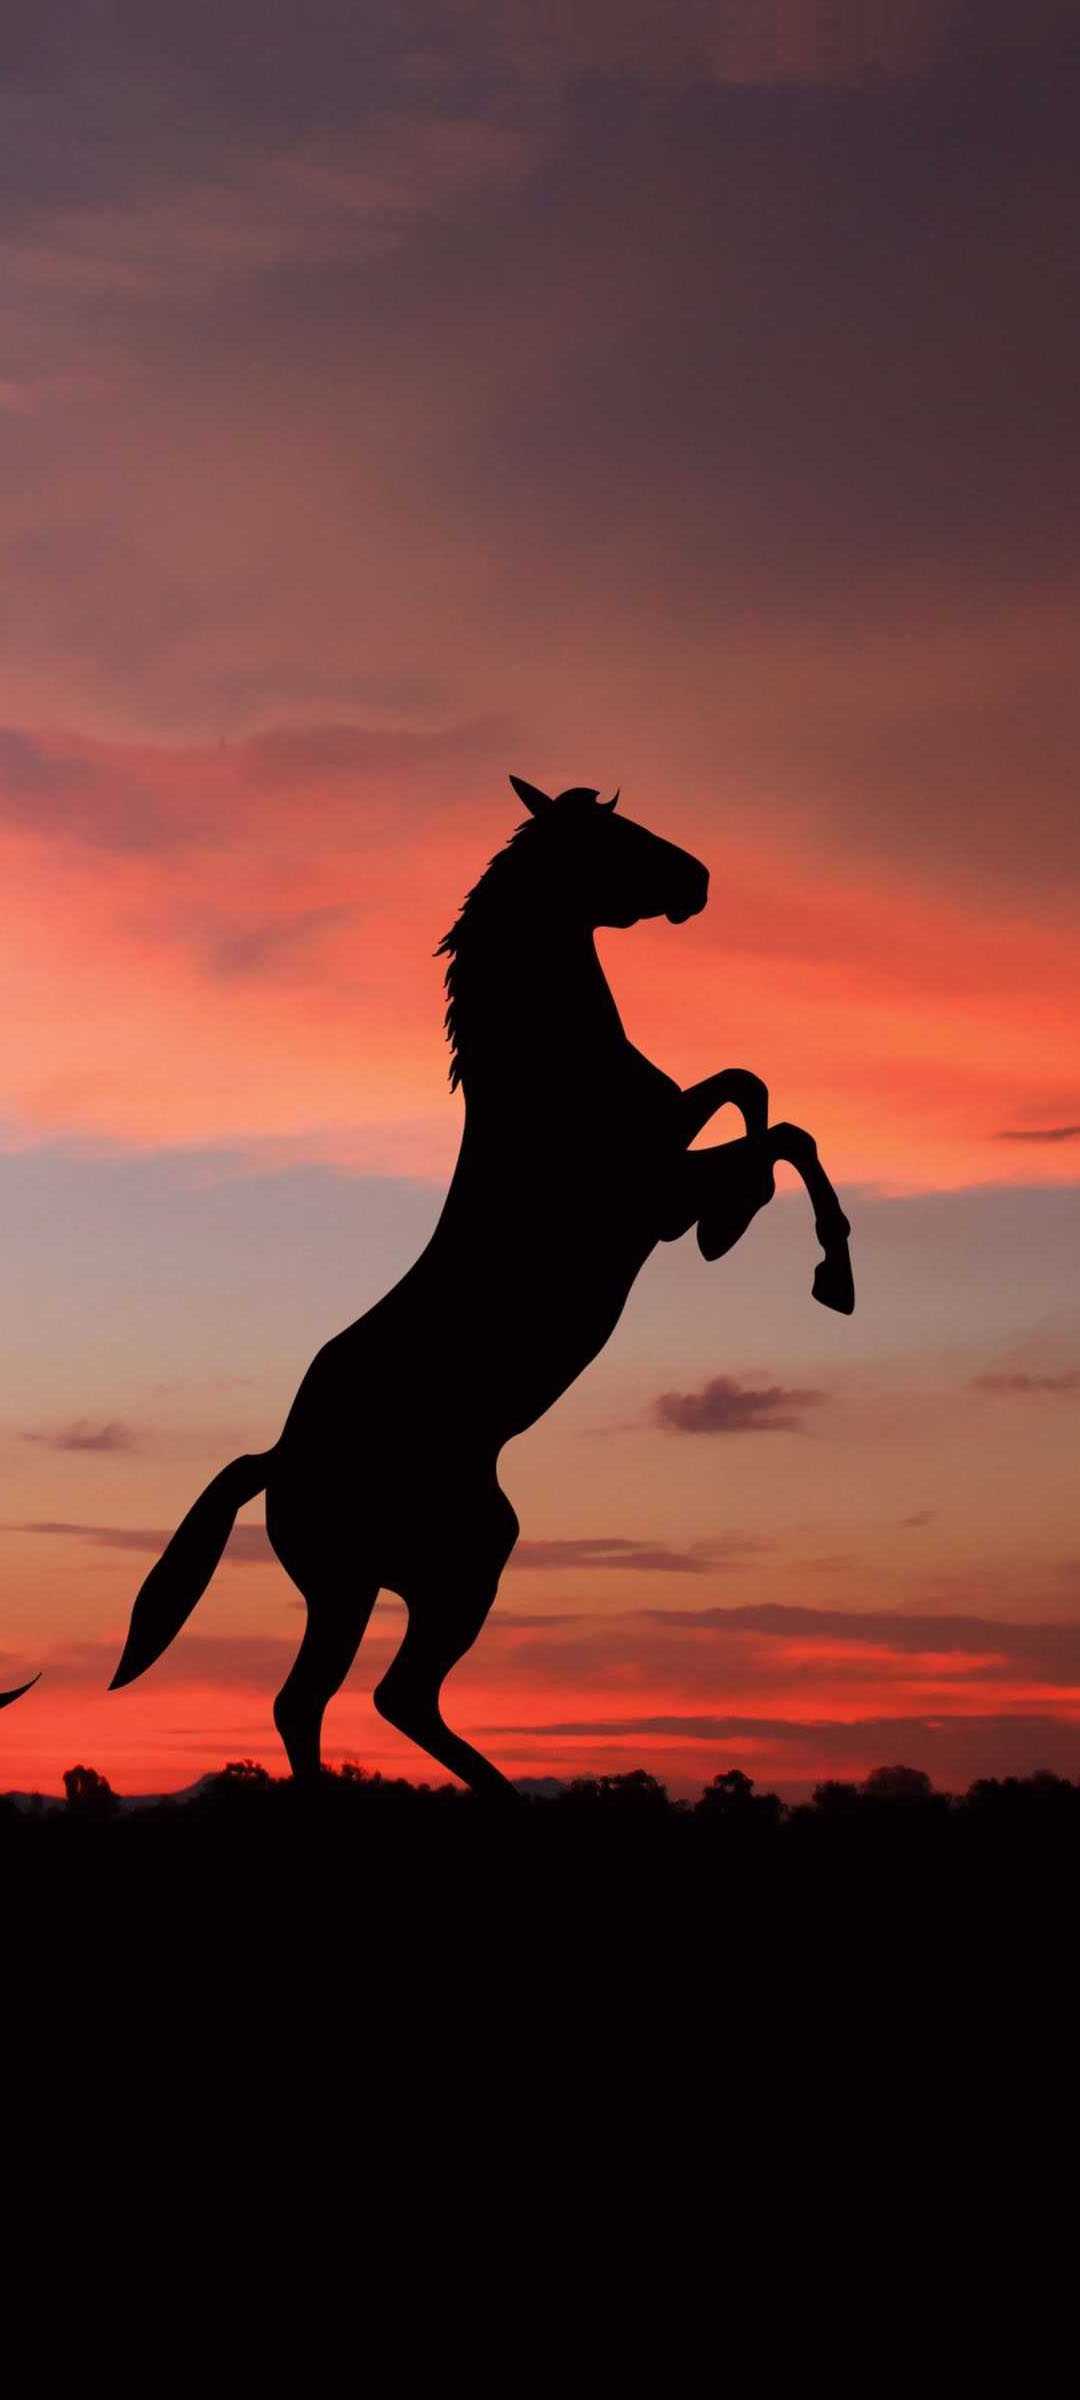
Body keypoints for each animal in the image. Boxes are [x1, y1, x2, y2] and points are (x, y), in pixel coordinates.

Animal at [109, 777, 854, 1795]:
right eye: (612, 835)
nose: (698, 881)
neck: (551, 1075)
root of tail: (279, 1458)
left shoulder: (666, 1146)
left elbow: (750, 1091)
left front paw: (745, 1230)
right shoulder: (652, 1193)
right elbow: (775, 1131)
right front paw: (811, 1264)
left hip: (416, 1570)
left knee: (352, 1700)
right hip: (412, 1574)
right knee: (354, 1698)